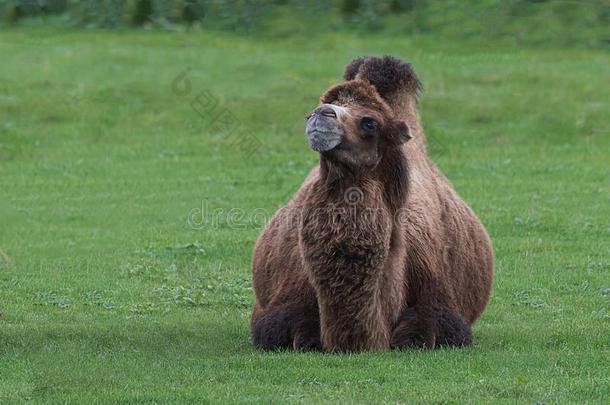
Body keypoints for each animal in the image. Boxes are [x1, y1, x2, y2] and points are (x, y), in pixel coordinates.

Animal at [249, 54, 492, 350]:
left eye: (370, 123)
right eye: (311, 111)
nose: (322, 114)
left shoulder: (440, 306)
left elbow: (422, 334)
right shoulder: (278, 310)